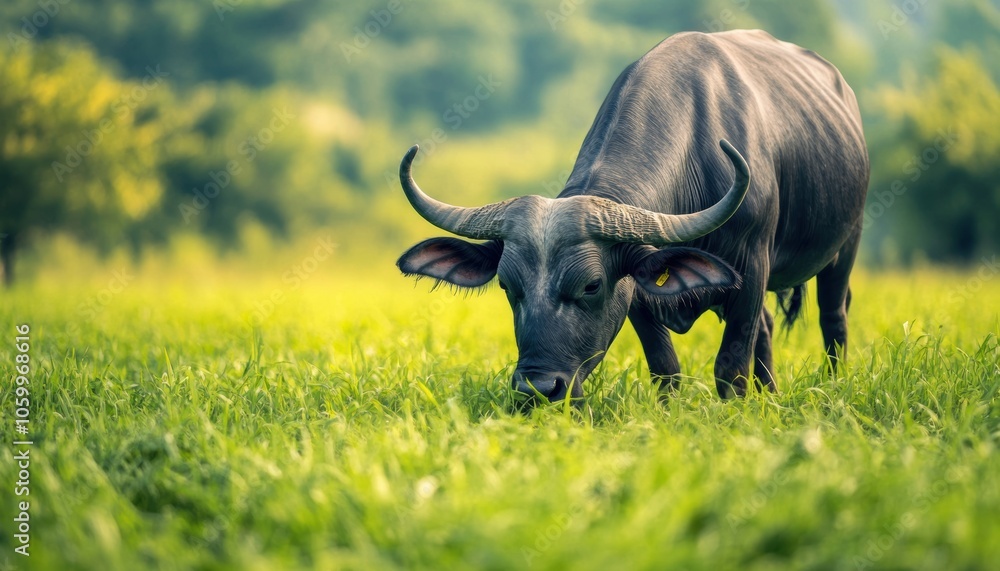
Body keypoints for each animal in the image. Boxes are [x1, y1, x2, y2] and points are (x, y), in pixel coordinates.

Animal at [397, 29, 869, 401]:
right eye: (508, 286)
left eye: (591, 285)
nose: (538, 388)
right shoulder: (639, 291)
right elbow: (665, 367)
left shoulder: (752, 267)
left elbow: (730, 366)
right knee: (768, 328)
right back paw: (769, 396)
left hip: (846, 245)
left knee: (834, 316)